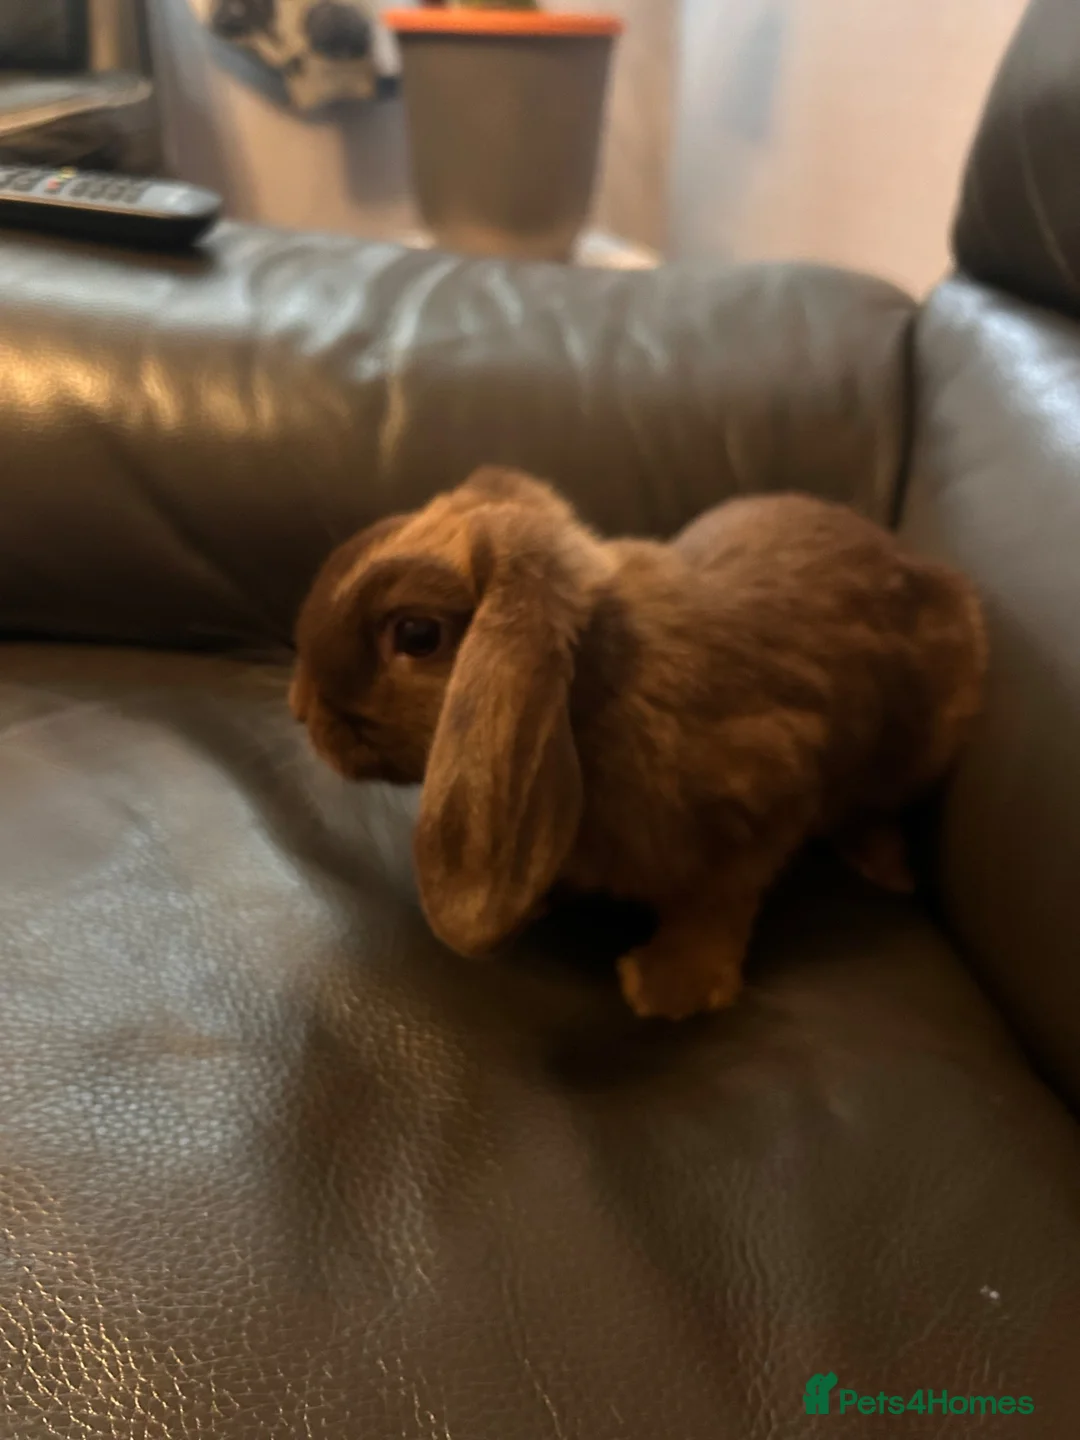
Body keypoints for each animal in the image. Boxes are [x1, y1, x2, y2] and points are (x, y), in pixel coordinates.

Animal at [290, 467, 986, 1021]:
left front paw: (665, 989)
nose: (301, 708)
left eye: (416, 634)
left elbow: (716, 906)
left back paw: (887, 870)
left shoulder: (763, 808)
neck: (592, 696)